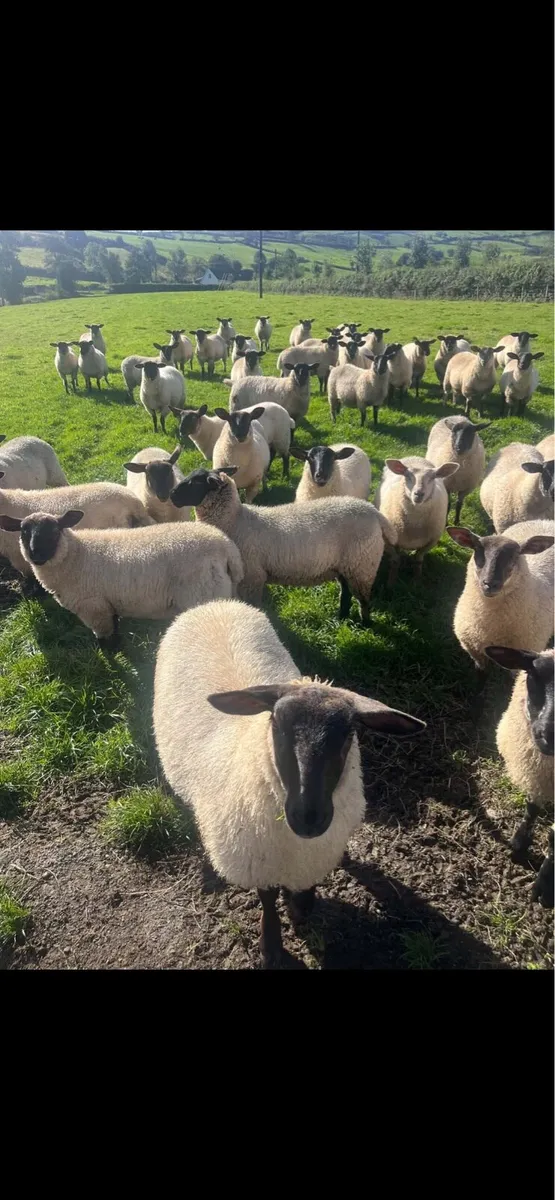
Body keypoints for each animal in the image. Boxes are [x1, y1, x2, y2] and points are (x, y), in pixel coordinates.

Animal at [0, 511, 243, 645]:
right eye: (23, 532)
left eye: (54, 530)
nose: (36, 554)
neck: (77, 555)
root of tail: (226, 547)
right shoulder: (107, 605)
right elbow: (115, 628)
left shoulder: (93, 608)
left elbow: (105, 641)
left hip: (204, 594)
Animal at [152, 597, 425, 966]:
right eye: (277, 725)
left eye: (348, 734)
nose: (308, 816)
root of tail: (215, 603)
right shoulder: (260, 860)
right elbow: (268, 900)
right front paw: (271, 945)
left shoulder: (313, 856)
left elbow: (305, 893)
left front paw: (300, 909)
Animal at [170, 466, 398, 622]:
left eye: (195, 483)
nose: (172, 495)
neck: (235, 521)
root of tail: (375, 513)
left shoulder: (252, 578)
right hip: (347, 565)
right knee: (347, 593)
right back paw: (340, 617)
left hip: (363, 565)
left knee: (363, 599)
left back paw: (366, 624)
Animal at [485, 645, 554, 908]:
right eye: (533, 674)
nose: (548, 735)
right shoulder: (537, 774)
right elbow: (531, 808)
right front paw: (519, 842)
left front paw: (544, 885)